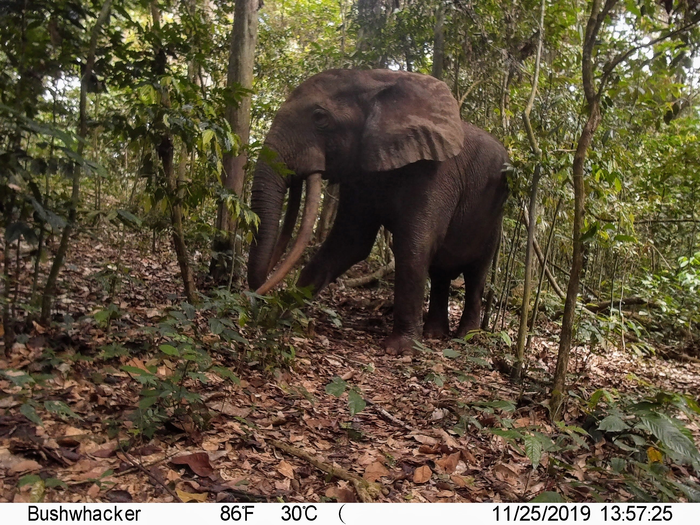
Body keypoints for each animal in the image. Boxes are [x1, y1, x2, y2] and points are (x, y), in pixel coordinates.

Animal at [247, 69, 509, 354]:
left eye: (320, 117)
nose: (262, 296)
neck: (377, 79)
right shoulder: (361, 174)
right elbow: (350, 242)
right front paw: (284, 315)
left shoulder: (435, 173)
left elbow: (414, 245)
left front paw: (399, 349)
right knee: (440, 273)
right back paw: (434, 334)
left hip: (495, 218)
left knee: (476, 274)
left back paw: (466, 337)